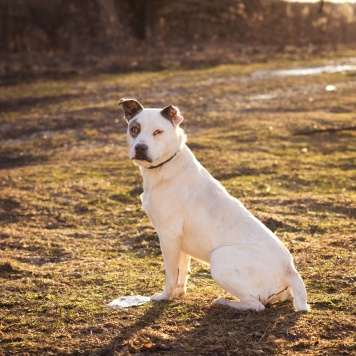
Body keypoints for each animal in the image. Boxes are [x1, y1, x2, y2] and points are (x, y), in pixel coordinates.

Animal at [119, 98, 308, 312]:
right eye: (134, 129)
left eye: (158, 132)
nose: (140, 147)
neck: (167, 165)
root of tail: (289, 269)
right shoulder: (179, 241)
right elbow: (182, 272)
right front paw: (178, 295)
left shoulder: (168, 235)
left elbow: (171, 273)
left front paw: (165, 296)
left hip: (219, 258)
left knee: (257, 305)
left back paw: (225, 302)